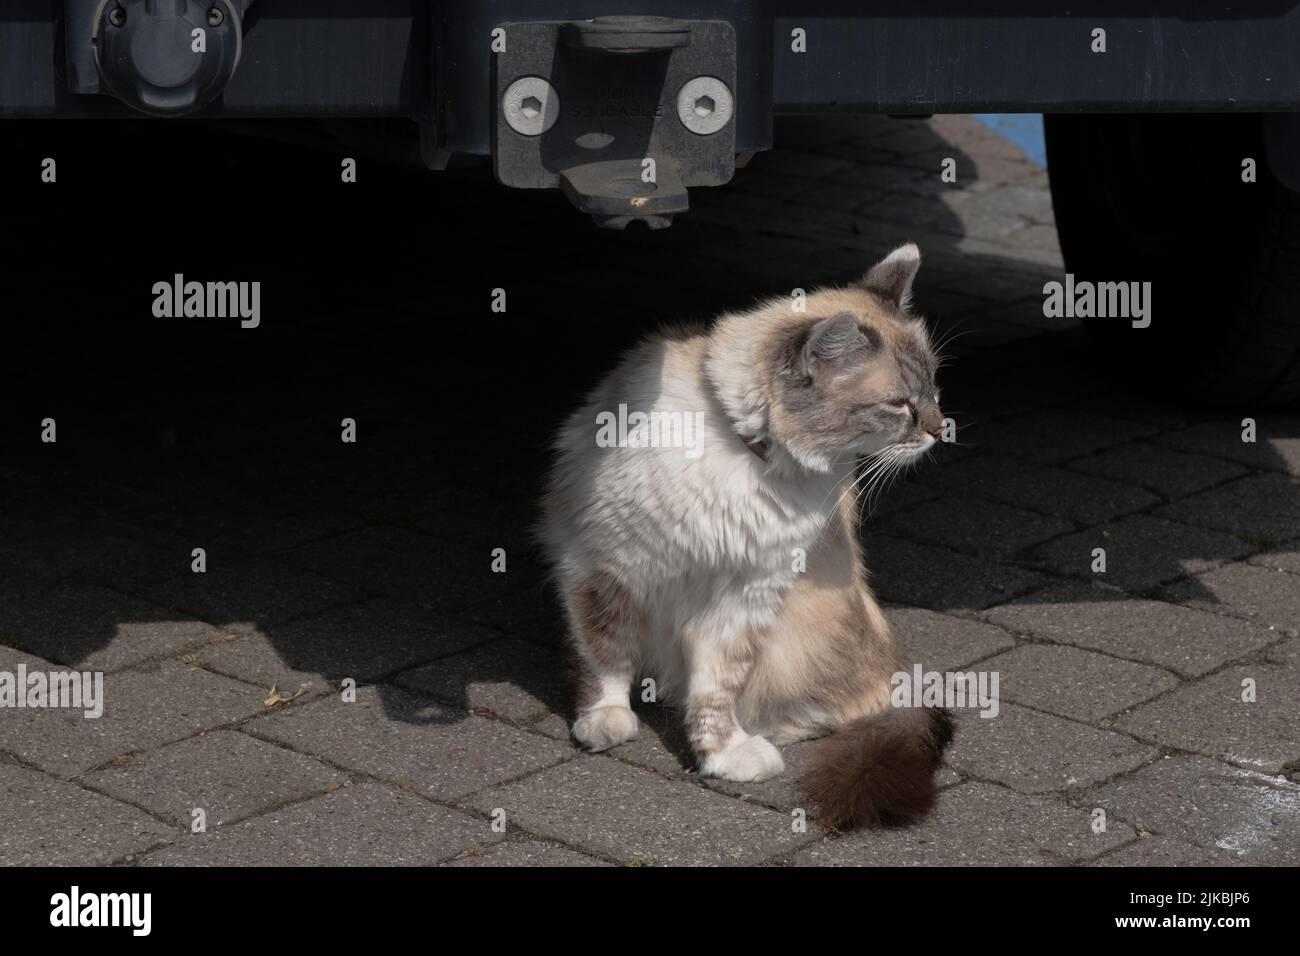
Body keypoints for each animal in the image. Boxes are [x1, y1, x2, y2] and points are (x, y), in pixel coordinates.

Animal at [538, 244, 956, 832]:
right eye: (899, 404)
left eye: (933, 388)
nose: (942, 431)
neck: (747, 451)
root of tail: (899, 672)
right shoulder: (603, 566)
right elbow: (605, 657)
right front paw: (606, 723)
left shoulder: (744, 597)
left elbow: (716, 689)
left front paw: (721, 756)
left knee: (842, 712)